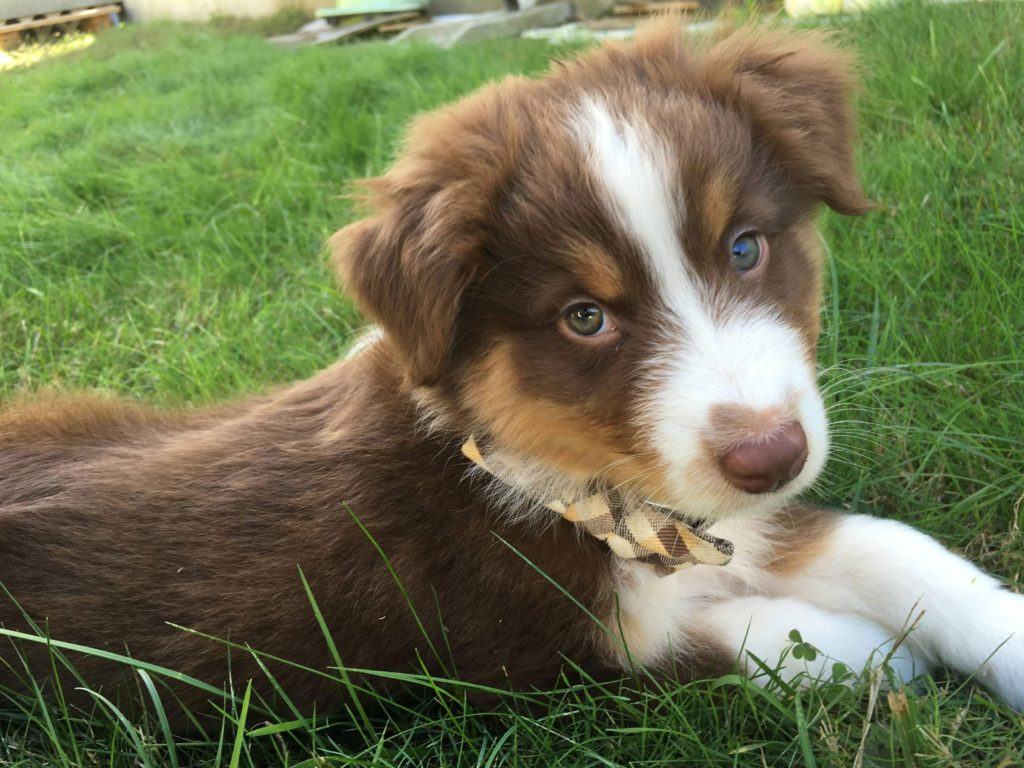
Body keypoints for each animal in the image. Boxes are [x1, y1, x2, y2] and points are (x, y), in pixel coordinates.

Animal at [2, 19, 1024, 716]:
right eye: (585, 319)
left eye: (745, 249)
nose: (772, 457)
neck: (577, 491)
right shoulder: (528, 660)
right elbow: (730, 644)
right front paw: (868, 653)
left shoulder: (731, 519)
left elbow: (898, 550)